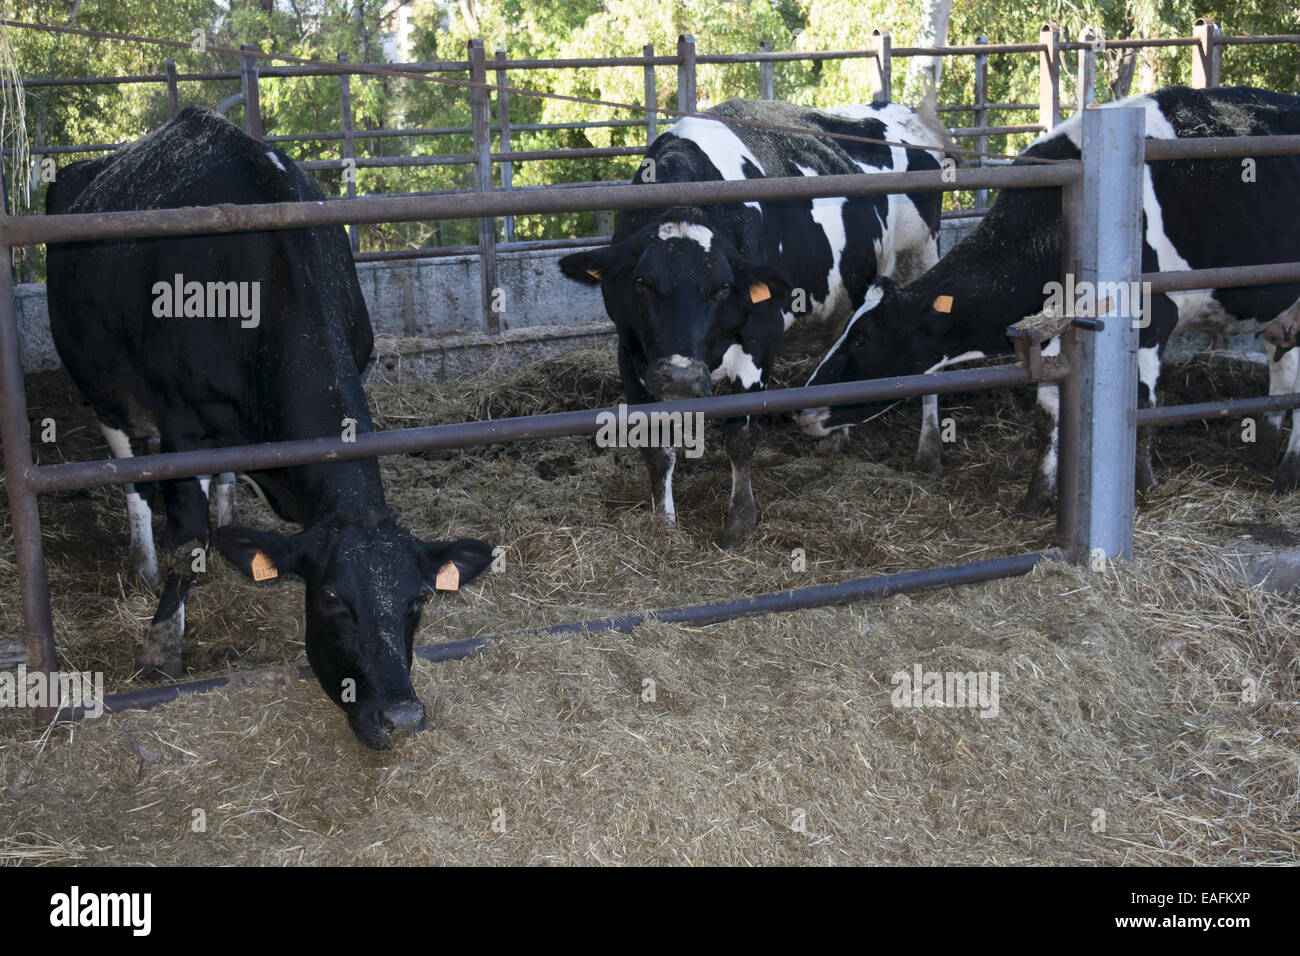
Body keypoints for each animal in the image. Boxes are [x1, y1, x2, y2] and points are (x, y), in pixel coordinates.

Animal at [47, 108, 491, 749]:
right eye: (330, 599)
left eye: (418, 600)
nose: (401, 717)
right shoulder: (182, 426)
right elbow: (188, 539)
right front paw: (162, 643)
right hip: (106, 395)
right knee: (133, 476)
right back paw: (144, 563)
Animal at [553, 98, 951, 546]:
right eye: (640, 281)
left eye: (724, 286)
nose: (681, 377)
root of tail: (902, 111)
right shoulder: (629, 346)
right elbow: (655, 444)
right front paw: (663, 523)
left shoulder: (760, 336)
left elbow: (740, 435)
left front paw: (740, 521)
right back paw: (835, 441)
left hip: (921, 259)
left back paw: (929, 452)